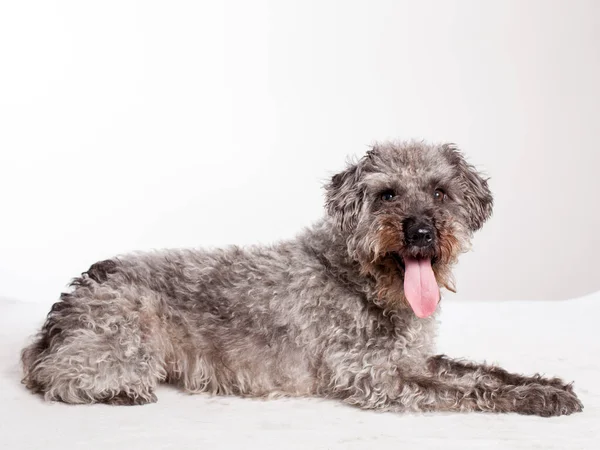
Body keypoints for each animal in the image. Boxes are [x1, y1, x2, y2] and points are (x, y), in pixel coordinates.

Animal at [22, 142, 580, 416]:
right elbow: (468, 389)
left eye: (440, 193)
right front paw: (538, 400)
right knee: (58, 376)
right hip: (128, 338)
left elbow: (483, 371)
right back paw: (116, 391)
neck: (360, 279)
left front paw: (545, 383)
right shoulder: (379, 378)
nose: (421, 230)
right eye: (388, 194)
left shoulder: (411, 360)